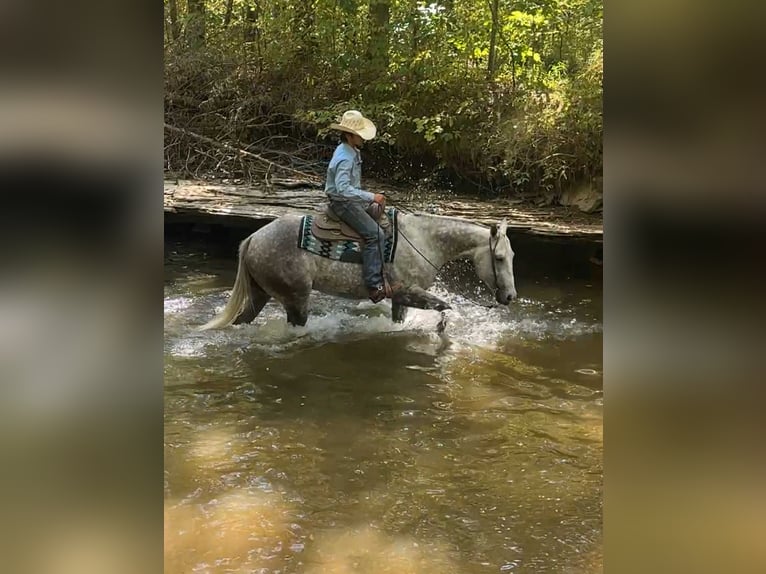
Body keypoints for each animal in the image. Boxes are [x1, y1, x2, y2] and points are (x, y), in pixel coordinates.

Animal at [199, 211, 517, 330]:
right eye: (499, 258)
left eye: (512, 256)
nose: (511, 297)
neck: (423, 240)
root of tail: (253, 238)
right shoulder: (408, 292)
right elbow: (444, 306)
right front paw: (441, 330)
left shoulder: (400, 298)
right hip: (295, 298)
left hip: (260, 294)